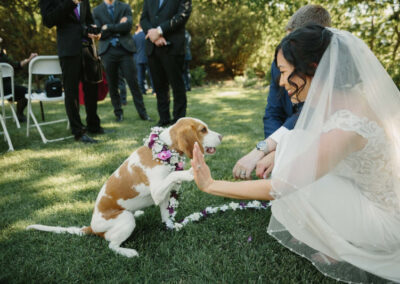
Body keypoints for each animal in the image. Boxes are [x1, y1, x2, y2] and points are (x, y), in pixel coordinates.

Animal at [26, 117, 222, 258]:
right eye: (203, 130)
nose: (221, 136)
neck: (165, 148)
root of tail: (92, 227)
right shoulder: (157, 191)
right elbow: (173, 175)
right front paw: (191, 172)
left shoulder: (164, 196)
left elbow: (166, 214)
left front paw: (172, 227)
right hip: (125, 219)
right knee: (111, 244)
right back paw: (127, 252)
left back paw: (139, 213)